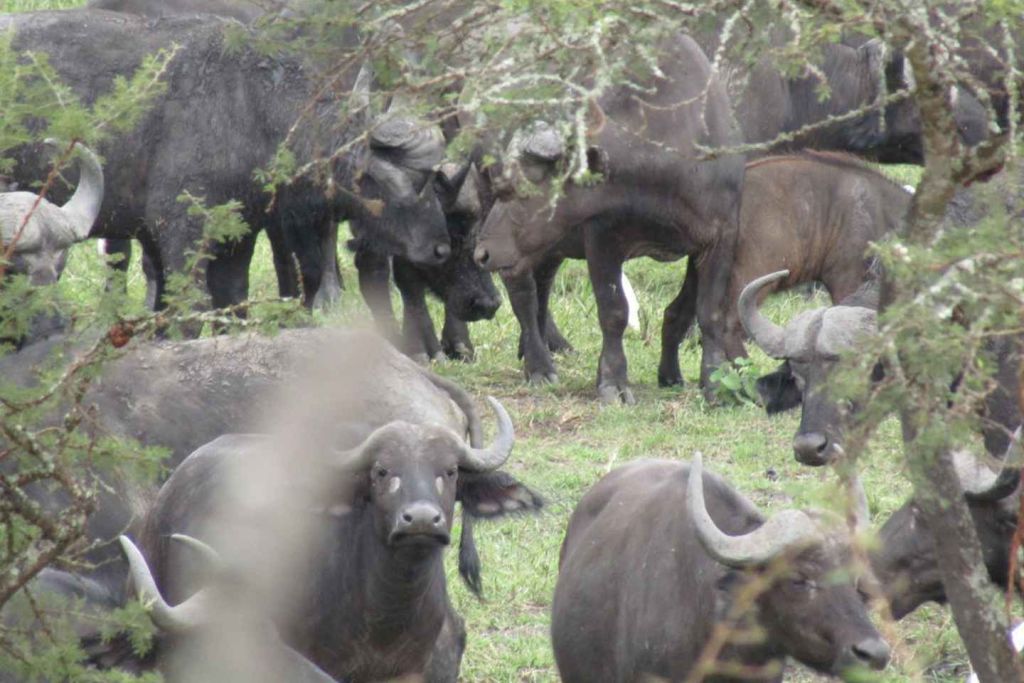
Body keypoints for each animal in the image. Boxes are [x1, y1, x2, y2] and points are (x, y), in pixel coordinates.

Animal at [4, 10, 463, 315]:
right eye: (405, 184)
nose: (441, 248)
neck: (252, 110)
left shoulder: (239, 238)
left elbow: (234, 303)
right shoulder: (181, 232)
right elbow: (188, 311)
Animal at [474, 33, 745, 403]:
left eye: (522, 189)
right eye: (501, 183)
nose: (481, 252)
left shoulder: (719, 236)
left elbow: (705, 310)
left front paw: (709, 382)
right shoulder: (603, 237)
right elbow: (614, 311)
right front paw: (613, 382)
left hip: (549, 243)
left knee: (543, 282)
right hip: (518, 250)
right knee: (523, 293)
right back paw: (539, 365)